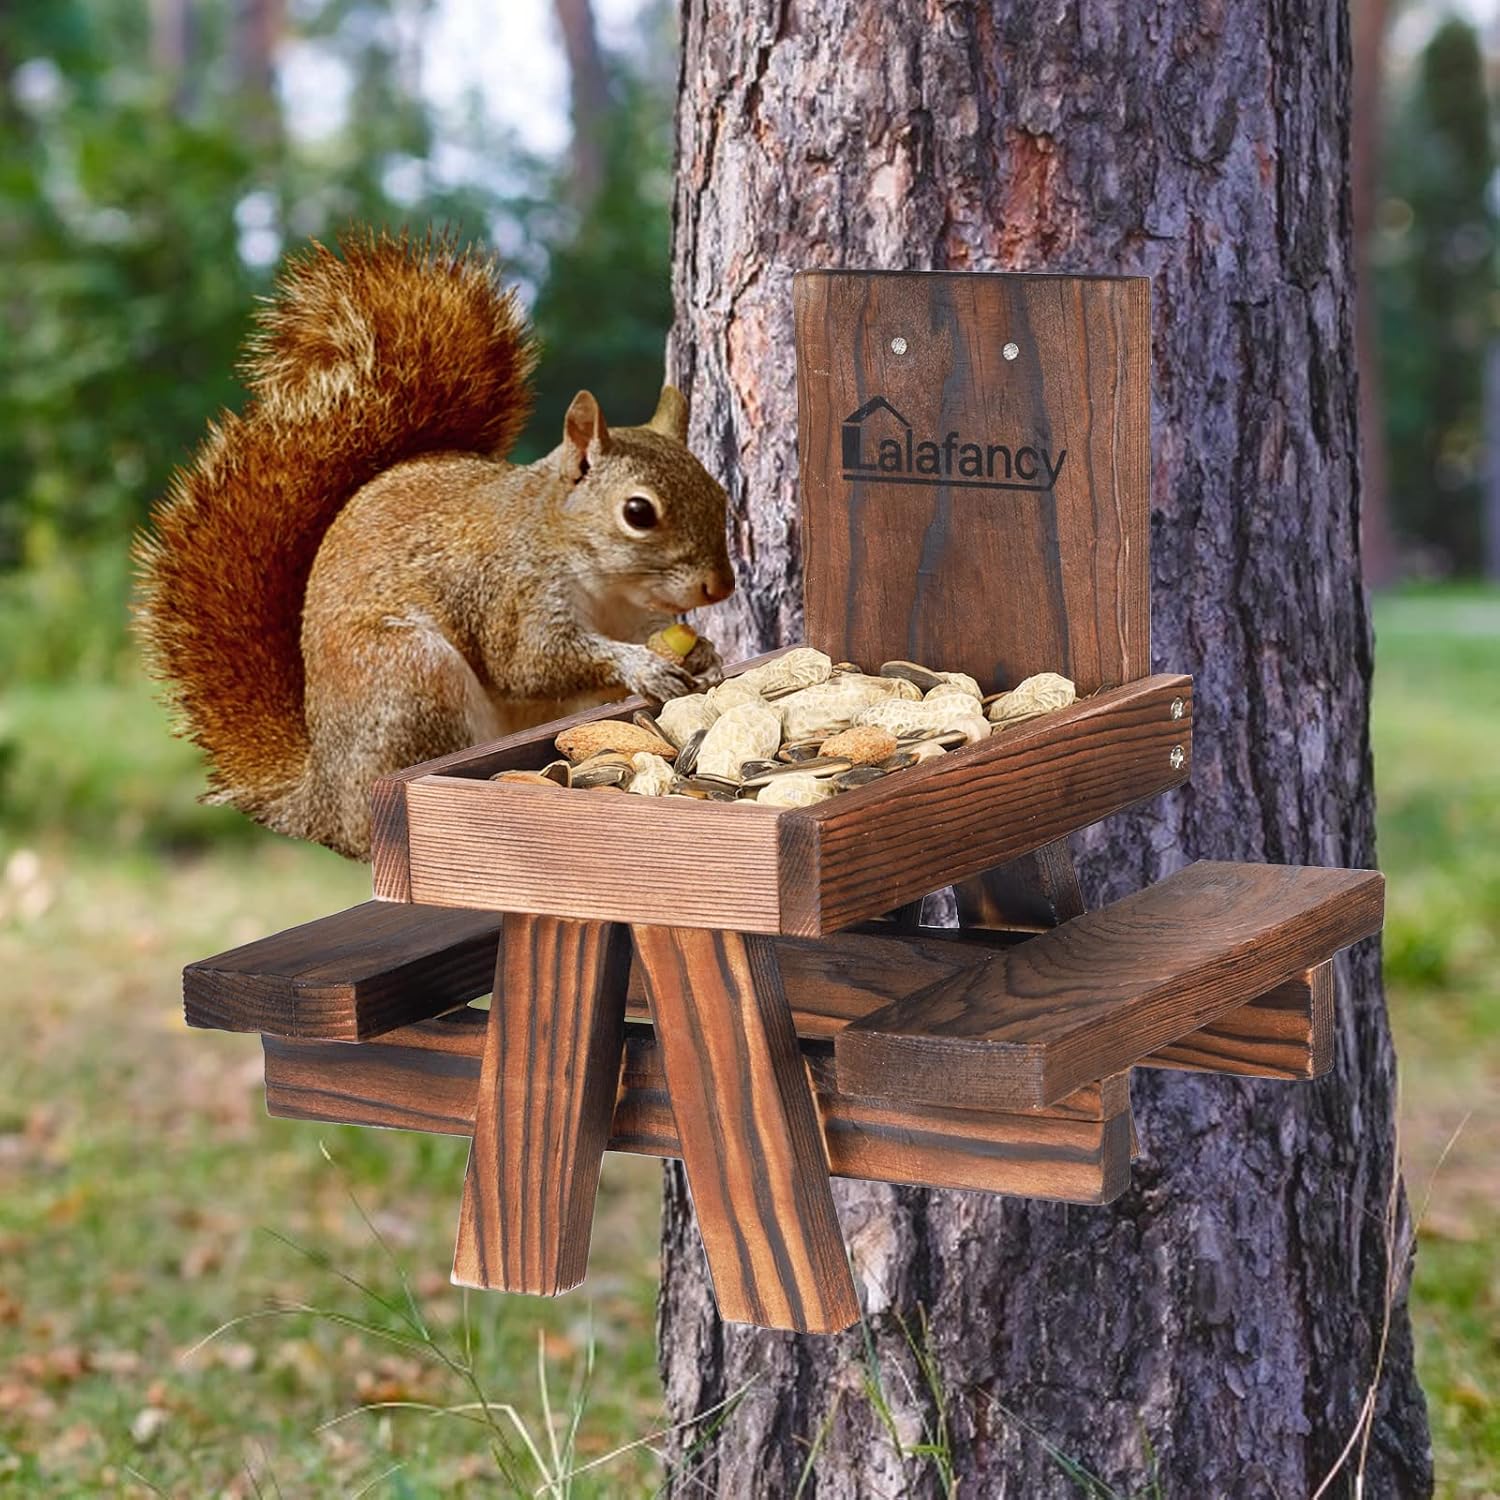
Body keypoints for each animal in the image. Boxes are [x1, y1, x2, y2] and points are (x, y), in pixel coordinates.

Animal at [134, 232, 735, 862]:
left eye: (719, 493)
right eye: (638, 513)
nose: (720, 586)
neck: (603, 583)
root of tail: (328, 807)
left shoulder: (636, 614)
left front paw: (703, 655)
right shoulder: (510, 594)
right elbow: (528, 662)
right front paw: (640, 666)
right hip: (411, 678)